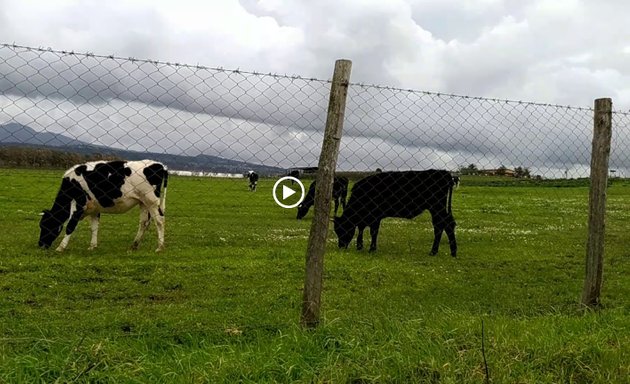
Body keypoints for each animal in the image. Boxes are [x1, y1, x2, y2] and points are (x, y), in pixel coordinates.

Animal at [38, 160, 169, 254]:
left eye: (47, 225)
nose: (41, 245)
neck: (71, 184)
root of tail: (159, 165)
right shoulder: (94, 209)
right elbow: (94, 227)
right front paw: (92, 246)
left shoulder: (78, 206)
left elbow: (70, 227)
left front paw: (61, 247)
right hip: (143, 202)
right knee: (144, 222)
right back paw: (134, 245)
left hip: (151, 201)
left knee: (159, 221)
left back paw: (160, 247)